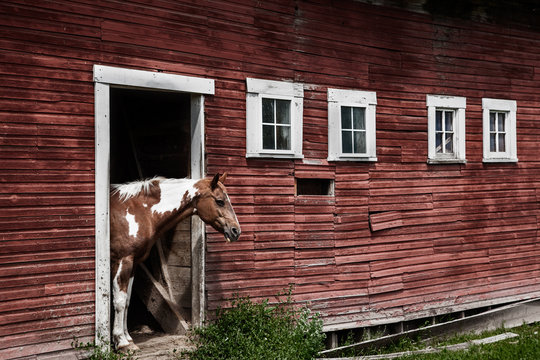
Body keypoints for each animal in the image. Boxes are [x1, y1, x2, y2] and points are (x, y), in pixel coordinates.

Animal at [108, 173, 239, 350]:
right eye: (220, 201)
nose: (236, 231)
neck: (139, 211)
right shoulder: (122, 260)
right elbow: (120, 301)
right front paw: (122, 343)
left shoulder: (134, 263)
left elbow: (128, 300)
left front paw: (128, 338)